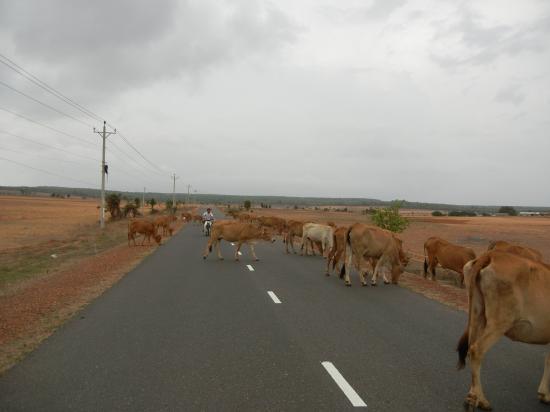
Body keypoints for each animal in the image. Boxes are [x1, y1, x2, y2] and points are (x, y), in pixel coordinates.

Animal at [458, 251, 550, 408]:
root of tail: (491, 255)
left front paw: (544, 394)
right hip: (499, 323)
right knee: (477, 350)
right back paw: (481, 399)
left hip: (477, 315)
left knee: (471, 347)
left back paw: (472, 396)